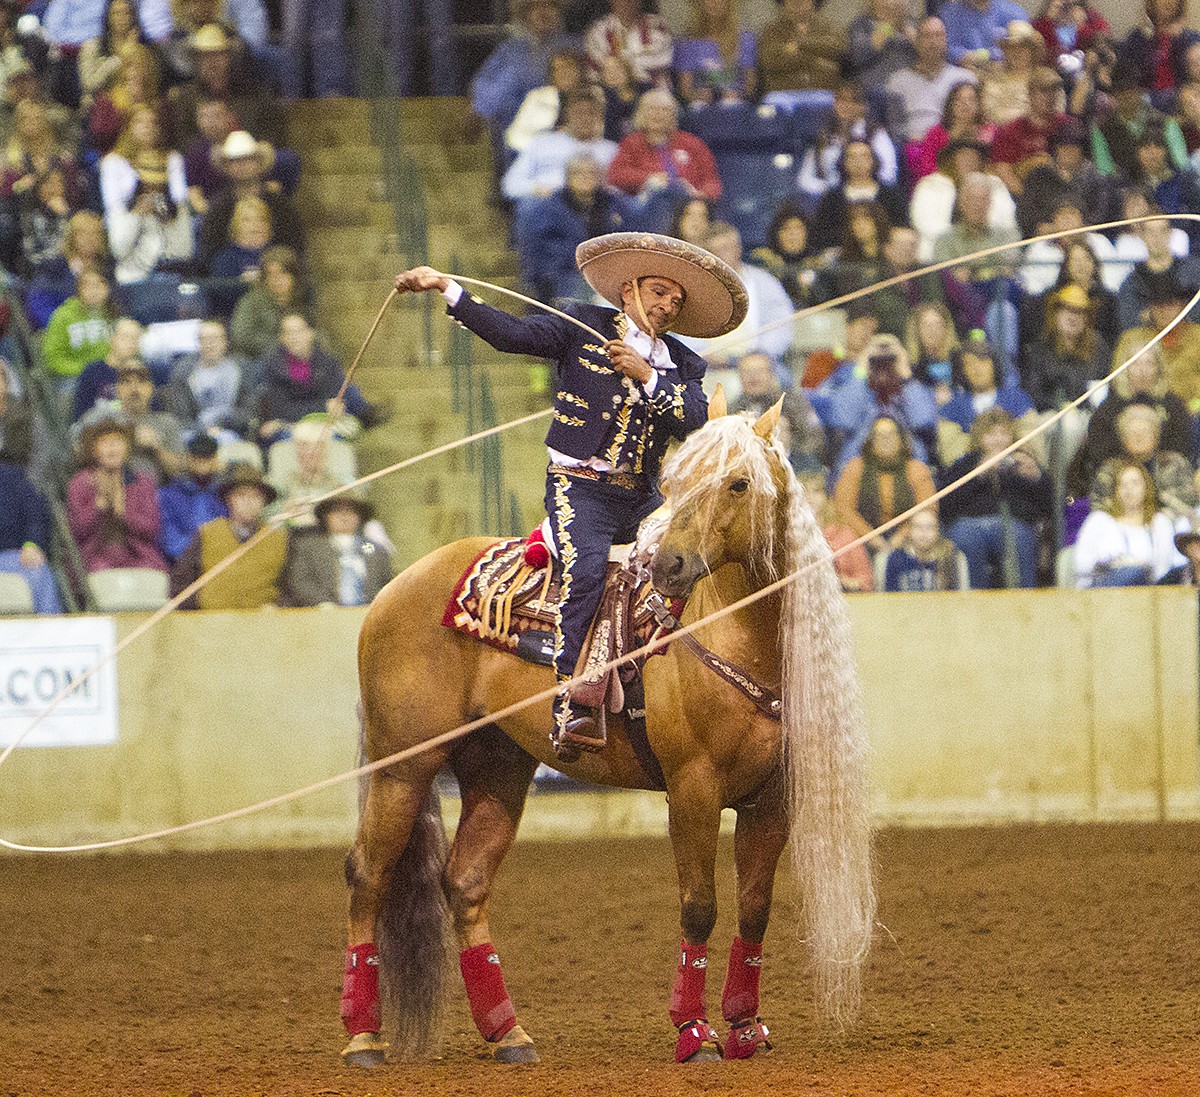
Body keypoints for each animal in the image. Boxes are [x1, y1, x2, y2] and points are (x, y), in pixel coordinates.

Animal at [338, 394, 876, 1067]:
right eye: (672, 483)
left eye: (738, 483)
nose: (669, 565)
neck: (734, 631)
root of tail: (394, 588)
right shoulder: (693, 790)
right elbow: (699, 907)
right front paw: (693, 1033)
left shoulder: (771, 798)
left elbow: (754, 910)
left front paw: (747, 1028)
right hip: (403, 767)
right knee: (367, 874)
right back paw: (363, 1038)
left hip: (497, 768)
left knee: (464, 883)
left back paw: (508, 1033)